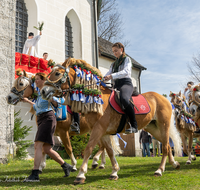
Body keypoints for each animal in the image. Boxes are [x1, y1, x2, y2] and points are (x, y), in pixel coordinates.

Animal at [41, 58, 183, 186]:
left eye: (57, 73)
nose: (43, 91)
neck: (96, 99)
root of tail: (164, 99)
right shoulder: (102, 132)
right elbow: (109, 151)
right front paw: (114, 171)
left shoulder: (98, 129)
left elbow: (89, 149)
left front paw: (81, 175)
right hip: (152, 128)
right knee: (167, 145)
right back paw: (174, 164)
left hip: (163, 125)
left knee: (165, 146)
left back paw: (159, 170)